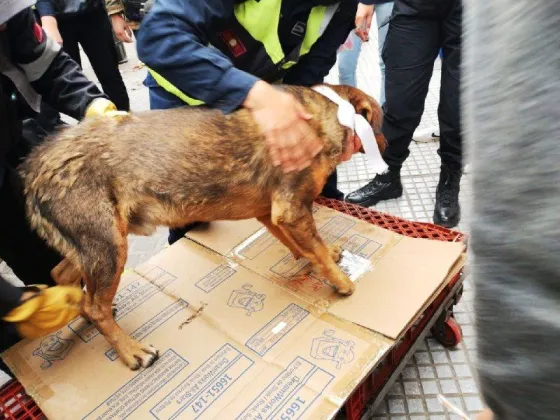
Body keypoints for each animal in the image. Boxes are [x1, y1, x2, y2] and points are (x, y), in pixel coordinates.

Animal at [18, 83, 384, 370]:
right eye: (379, 121)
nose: (388, 146)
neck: (327, 113)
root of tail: (34, 169)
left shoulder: (271, 213)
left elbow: (300, 246)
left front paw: (320, 256)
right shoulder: (291, 209)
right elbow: (314, 248)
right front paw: (341, 282)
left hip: (95, 244)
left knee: (65, 278)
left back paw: (77, 310)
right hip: (109, 248)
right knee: (96, 306)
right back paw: (130, 349)